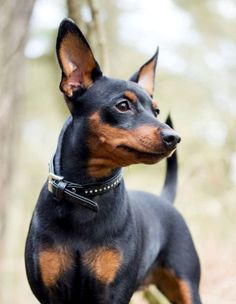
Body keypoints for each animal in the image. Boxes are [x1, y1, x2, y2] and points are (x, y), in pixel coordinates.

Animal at [24, 19, 202, 304]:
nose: (174, 137)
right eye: (122, 106)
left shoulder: (112, 292)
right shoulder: (50, 293)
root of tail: (164, 200)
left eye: (156, 110)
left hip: (187, 286)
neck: (84, 195)